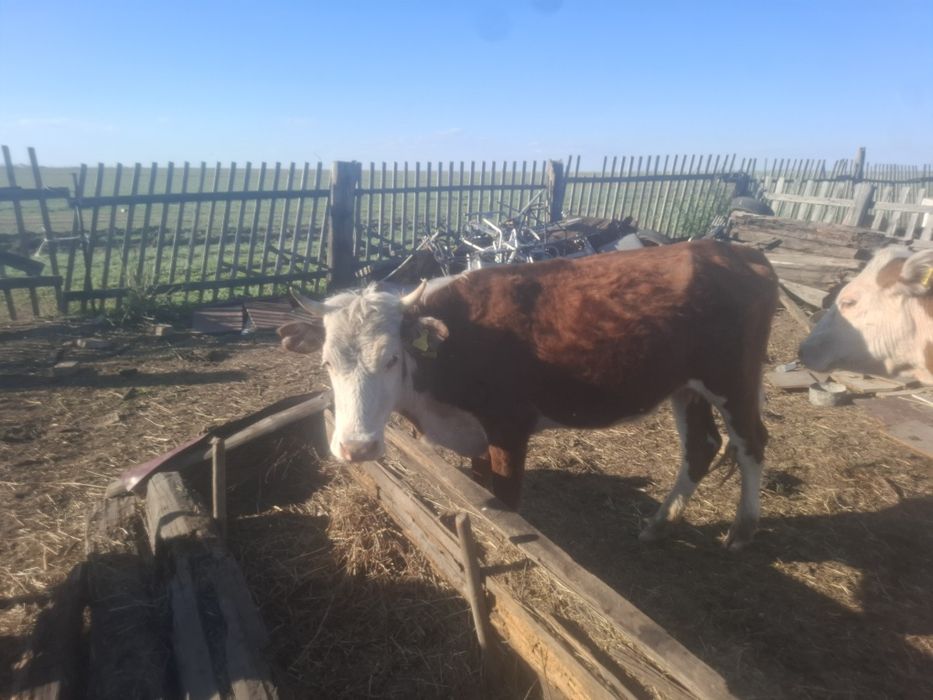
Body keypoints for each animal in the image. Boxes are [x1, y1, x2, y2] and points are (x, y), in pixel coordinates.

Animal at [279, 240, 779, 550]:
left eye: (391, 359)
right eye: (326, 363)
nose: (356, 447)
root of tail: (736, 251)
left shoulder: (509, 426)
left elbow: (506, 502)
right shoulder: (475, 434)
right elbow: (479, 487)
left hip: (732, 380)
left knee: (752, 442)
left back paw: (742, 530)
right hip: (685, 387)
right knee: (702, 446)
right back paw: (659, 525)